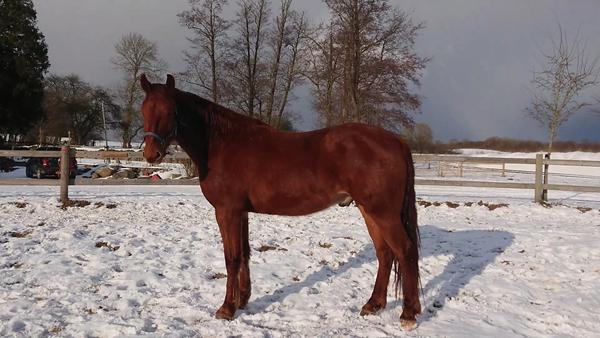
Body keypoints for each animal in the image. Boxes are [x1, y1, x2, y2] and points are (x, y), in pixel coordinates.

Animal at [141, 74, 422, 330]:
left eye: (170, 111)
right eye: (144, 109)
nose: (151, 154)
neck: (221, 144)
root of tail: (397, 141)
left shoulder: (227, 211)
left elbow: (231, 258)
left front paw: (226, 308)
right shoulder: (241, 212)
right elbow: (244, 253)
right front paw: (243, 300)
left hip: (383, 212)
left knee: (405, 251)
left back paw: (408, 314)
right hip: (369, 210)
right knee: (385, 253)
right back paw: (373, 304)